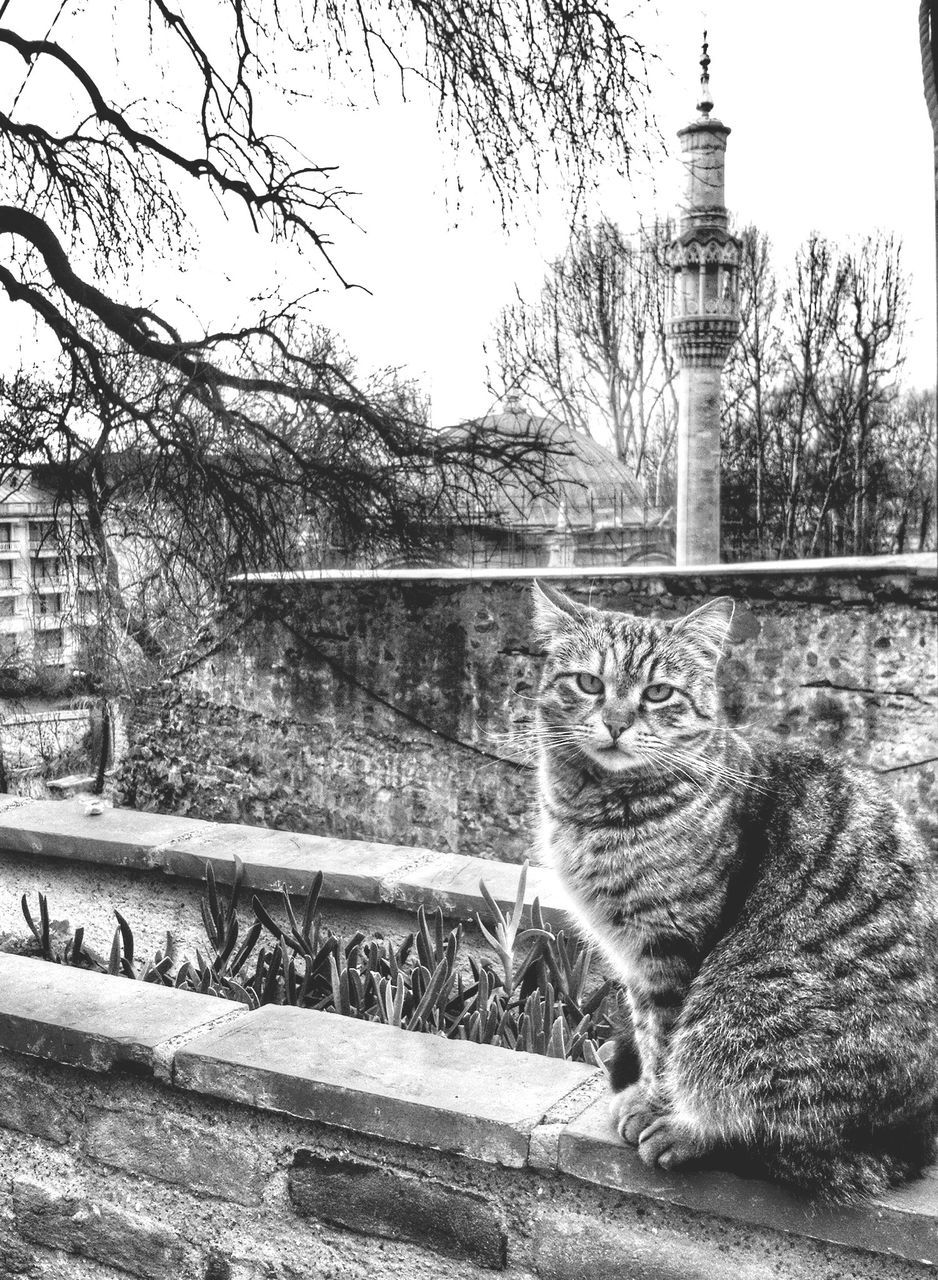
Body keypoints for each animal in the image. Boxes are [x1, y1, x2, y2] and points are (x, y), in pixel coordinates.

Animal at [529, 581, 931, 1198]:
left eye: (658, 693)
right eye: (589, 683)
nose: (617, 722)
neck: (597, 812)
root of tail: (911, 1139)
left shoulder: (672, 945)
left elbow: (664, 1040)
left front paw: (655, 1106)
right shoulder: (634, 958)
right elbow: (644, 1029)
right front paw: (644, 1092)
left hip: (739, 1013)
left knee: (773, 1129)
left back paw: (684, 1132)